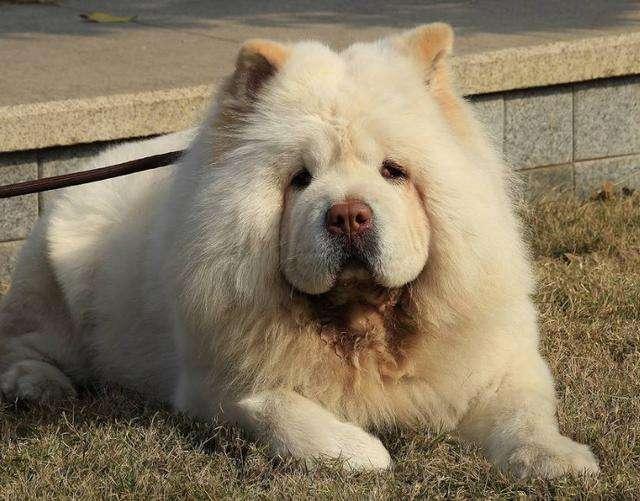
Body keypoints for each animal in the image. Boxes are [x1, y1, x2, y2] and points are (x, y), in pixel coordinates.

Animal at [1, 23, 600, 476]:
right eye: (300, 179)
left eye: (393, 171)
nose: (349, 215)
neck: (362, 327)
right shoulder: (216, 385)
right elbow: (282, 410)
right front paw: (362, 452)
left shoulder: (498, 363)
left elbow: (525, 414)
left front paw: (561, 462)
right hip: (49, 286)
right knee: (24, 344)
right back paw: (38, 385)